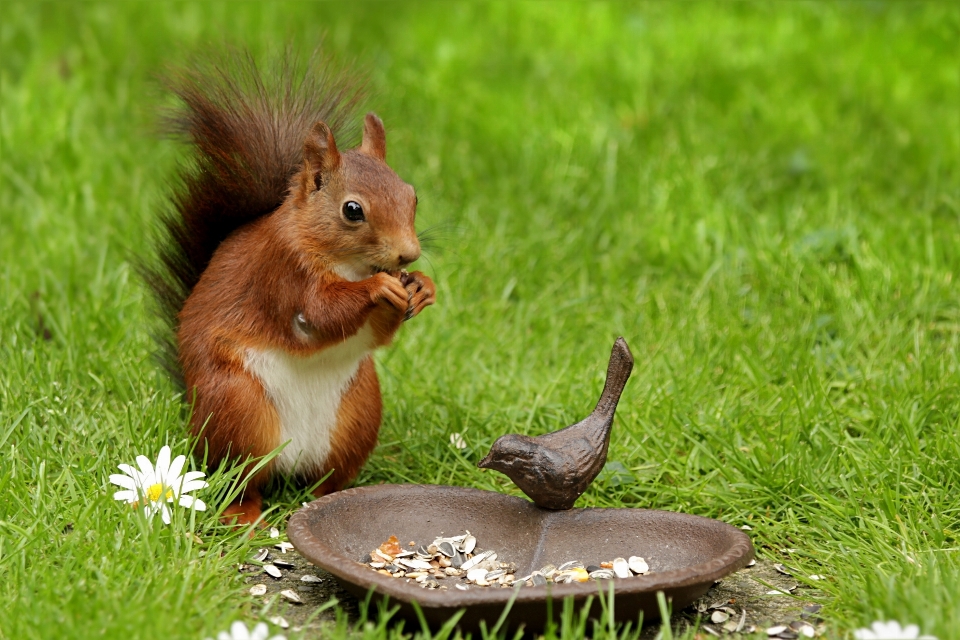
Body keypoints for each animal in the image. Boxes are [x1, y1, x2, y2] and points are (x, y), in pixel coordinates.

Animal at [145, 53, 436, 524]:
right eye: (352, 210)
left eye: (412, 196)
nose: (408, 255)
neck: (347, 264)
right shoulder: (281, 272)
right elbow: (319, 314)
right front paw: (379, 287)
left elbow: (376, 334)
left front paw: (423, 287)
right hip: (239, 409)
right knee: (240, 478)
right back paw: (244, 517)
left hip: (358, 414)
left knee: (325, 479)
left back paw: (332, 498)